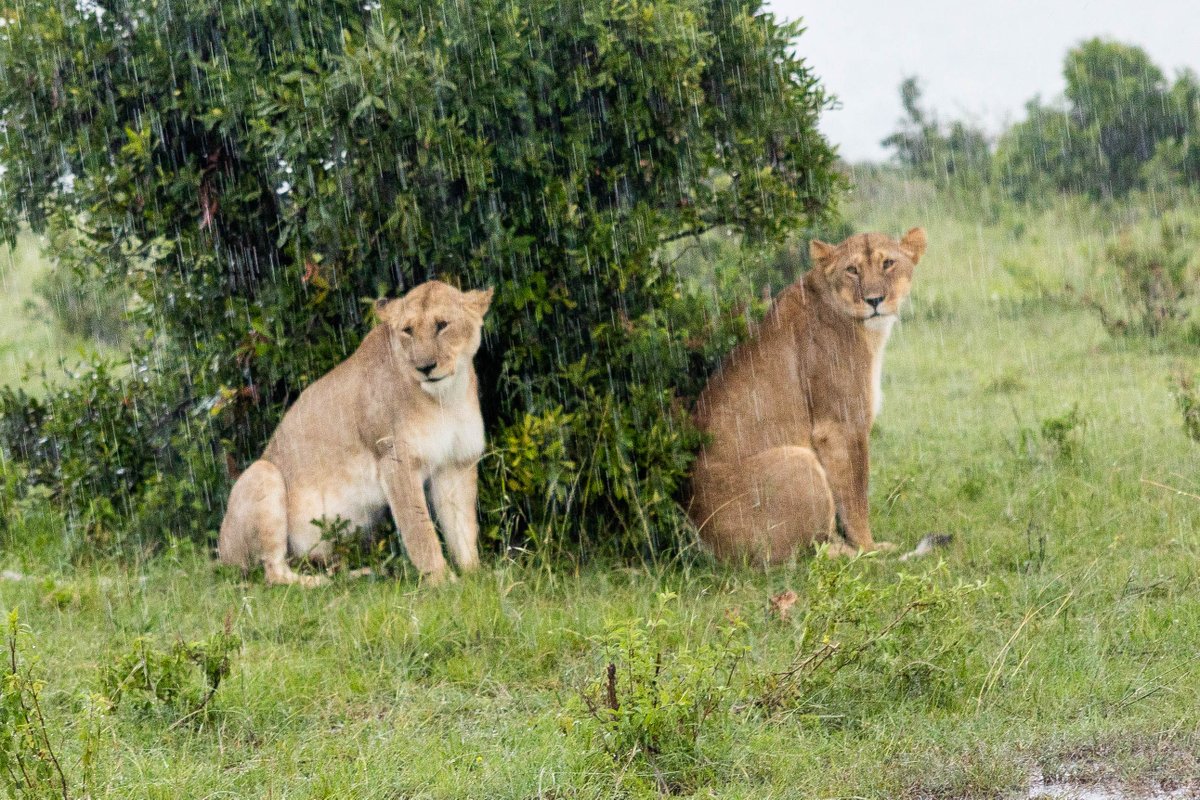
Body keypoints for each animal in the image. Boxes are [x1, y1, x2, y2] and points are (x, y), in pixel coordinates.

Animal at [217, 280, 494, 586]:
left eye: (442, 325)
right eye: (408, 330)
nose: (424, 367)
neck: (446, 399)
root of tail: (220, 557)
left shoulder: (455, 464)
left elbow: (463, 528)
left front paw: (475, 577)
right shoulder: (396, 462)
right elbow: (420, 532)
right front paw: (441, 582)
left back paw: (357, 573)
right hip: (263, 473)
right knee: (272, 574)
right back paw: (330, 583)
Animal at [688, 228, 926, 564]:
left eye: (888, 263)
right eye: (852, 270)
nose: (874, 300)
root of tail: (706, 547)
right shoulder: (841, 426)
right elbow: (855, 496)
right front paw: (869, 548)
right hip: (799, 462)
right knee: (809, 554)